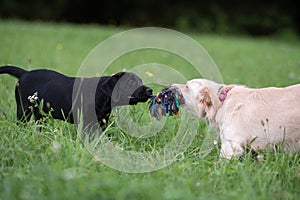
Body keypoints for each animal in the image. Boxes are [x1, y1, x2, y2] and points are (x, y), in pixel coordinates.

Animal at [0, 66, 154, 130]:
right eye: (131, 83)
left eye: (140, 81)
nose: (150, 90)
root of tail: (24, 73)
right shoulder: (85, 122)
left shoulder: (102, 121)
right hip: (23, 110)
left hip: (40, 115)